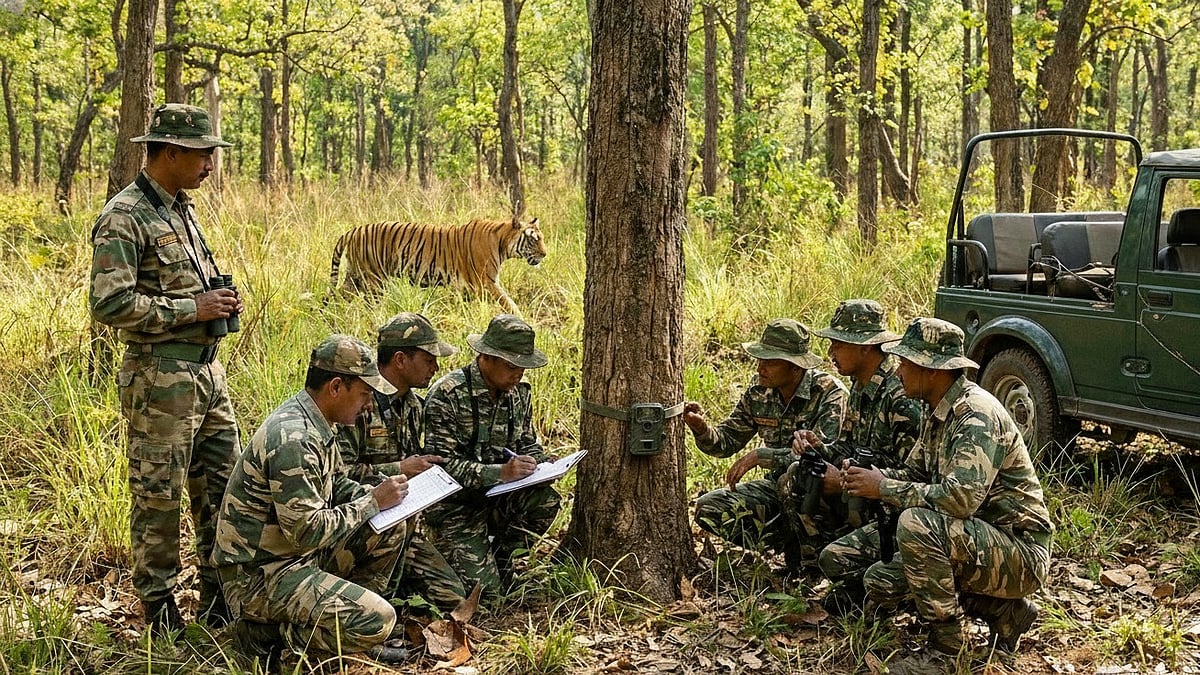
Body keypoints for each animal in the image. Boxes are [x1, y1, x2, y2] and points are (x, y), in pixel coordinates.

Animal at [328, 217, 547, 313]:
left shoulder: (469, 288)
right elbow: (509, 303)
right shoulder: (487, 282)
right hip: (373, 280)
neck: (502, 242)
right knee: (370, 305)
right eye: (533, 239)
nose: (545, 254)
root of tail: (353, 231)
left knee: (338, 296)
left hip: (355, 277)